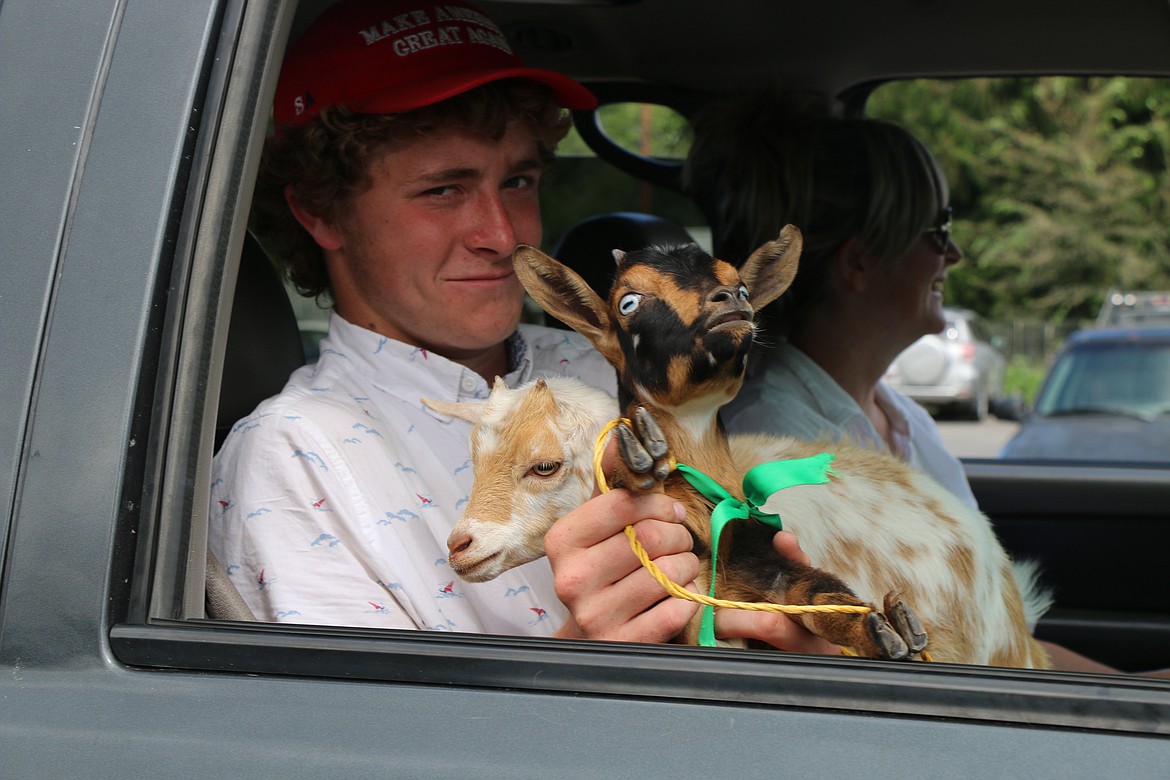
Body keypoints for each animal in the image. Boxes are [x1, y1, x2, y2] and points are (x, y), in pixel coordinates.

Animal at [428, 229, 1053, 668]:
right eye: (628, 303)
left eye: (545, 465)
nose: (460, 545)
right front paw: (635, 459)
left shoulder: (767, 565)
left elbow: (814, 592)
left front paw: (883, 628)